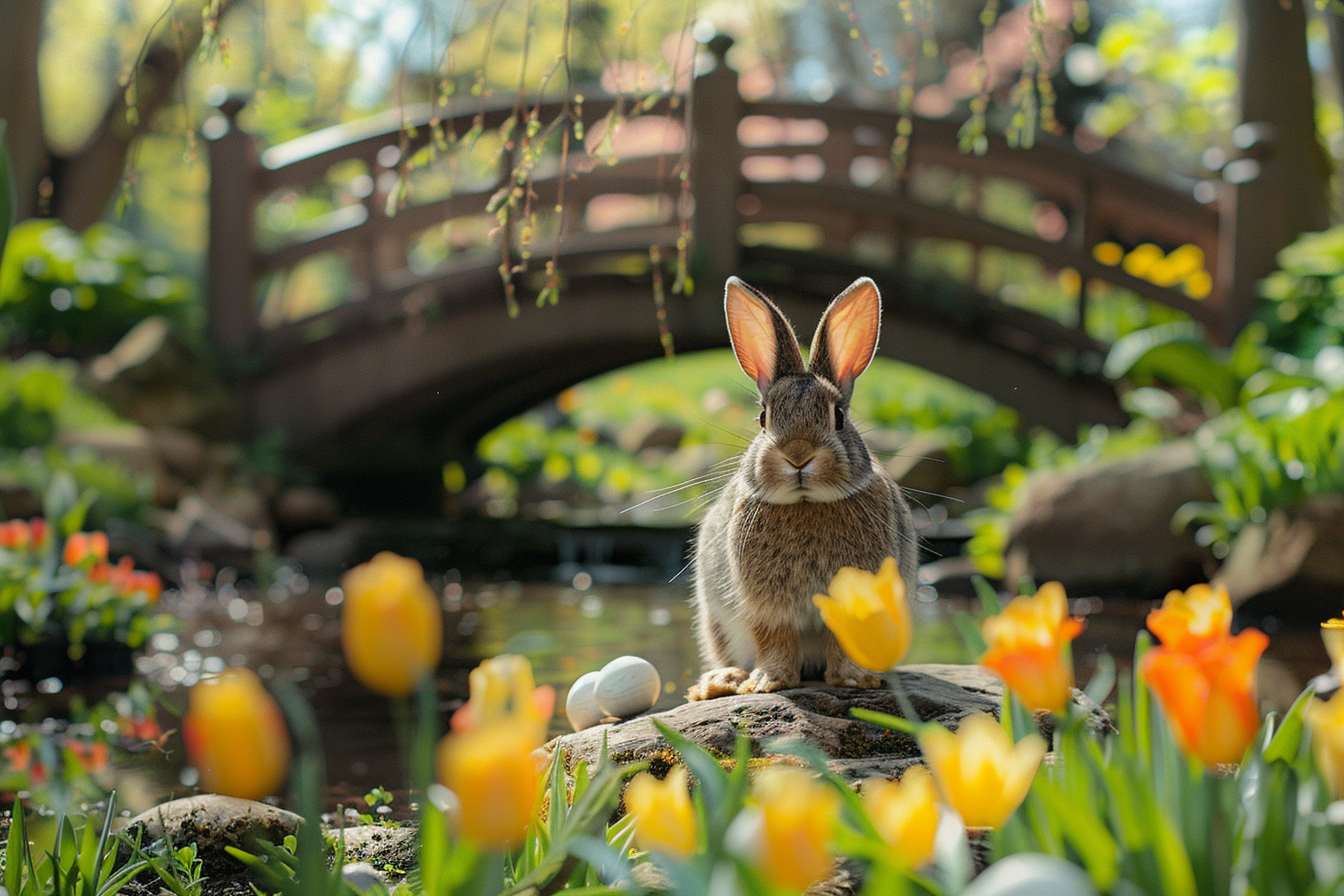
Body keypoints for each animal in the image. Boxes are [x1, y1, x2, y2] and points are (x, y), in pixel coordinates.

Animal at [686, 276, 919, 700]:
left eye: (838, 416)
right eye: (763, 418)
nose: (797, 455)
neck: (806, 503)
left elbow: (842, 641)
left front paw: (852, 679)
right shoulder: (766, 608)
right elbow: (774, 638)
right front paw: (768, 681)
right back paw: (721, 682)